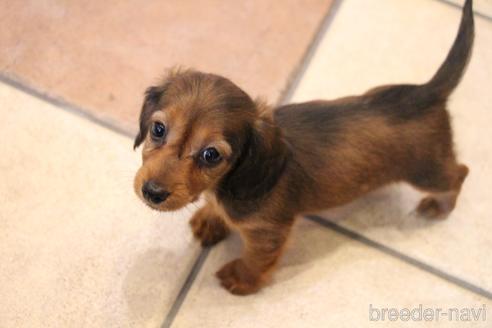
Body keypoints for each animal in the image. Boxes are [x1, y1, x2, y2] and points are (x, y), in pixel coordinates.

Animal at [134, 0, 472, 296]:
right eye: (158, 129)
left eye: (211, 155)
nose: (152, 192)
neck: (228, 184)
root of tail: (427, 93)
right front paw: (211, 219)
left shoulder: (270, 231)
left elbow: (257, 258)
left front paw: (242, 279)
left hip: (426, 171)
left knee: (460, 173)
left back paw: (439, 206)